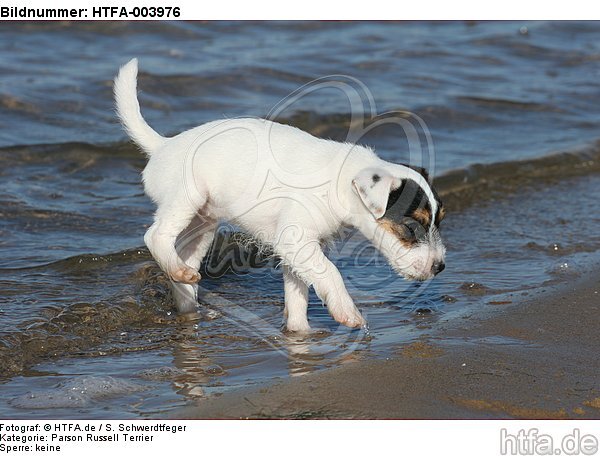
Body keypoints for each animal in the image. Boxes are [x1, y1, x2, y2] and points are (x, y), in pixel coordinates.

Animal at [116, 59, 446, 332]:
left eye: (439, 220)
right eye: (411, 227)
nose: (440, 267)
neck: (343, 181)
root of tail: (162, 146)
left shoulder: (297, 250)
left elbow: (298, 293)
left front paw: (300, 334)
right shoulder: (297, 240)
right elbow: (330, 272)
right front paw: (347, 312)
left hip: (203, 224)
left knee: (184, 259)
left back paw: (185, 291)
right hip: (186, 197)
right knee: (155, 235)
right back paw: (177, 271)